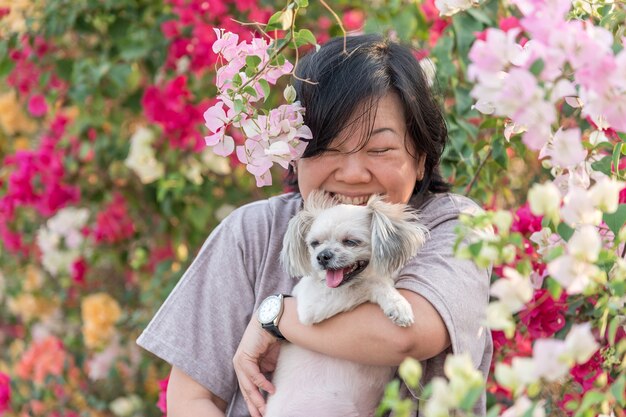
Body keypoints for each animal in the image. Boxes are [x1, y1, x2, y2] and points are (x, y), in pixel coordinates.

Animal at [264, 191, 428, 416]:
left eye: (351, 242)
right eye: (314, 243)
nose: (322, 256)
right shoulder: (312, 304)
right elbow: (373, 283)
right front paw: (397, 304)